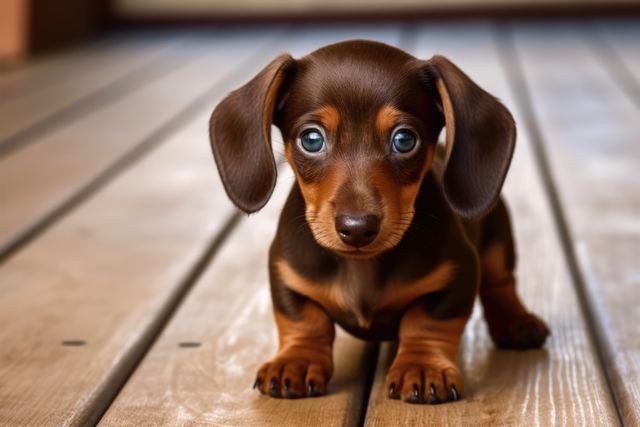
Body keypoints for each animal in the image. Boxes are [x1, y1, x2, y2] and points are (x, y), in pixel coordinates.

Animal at [210, 40, 552, 404]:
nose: (357, 228)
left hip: (498, 237)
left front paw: (422, 366)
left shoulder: (459, 273)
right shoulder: (285, 273)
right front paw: (296, 362)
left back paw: (517, 321)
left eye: (404, 140)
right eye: (311, 139)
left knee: (500, 281)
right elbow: (304, 319)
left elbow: (426, 321)